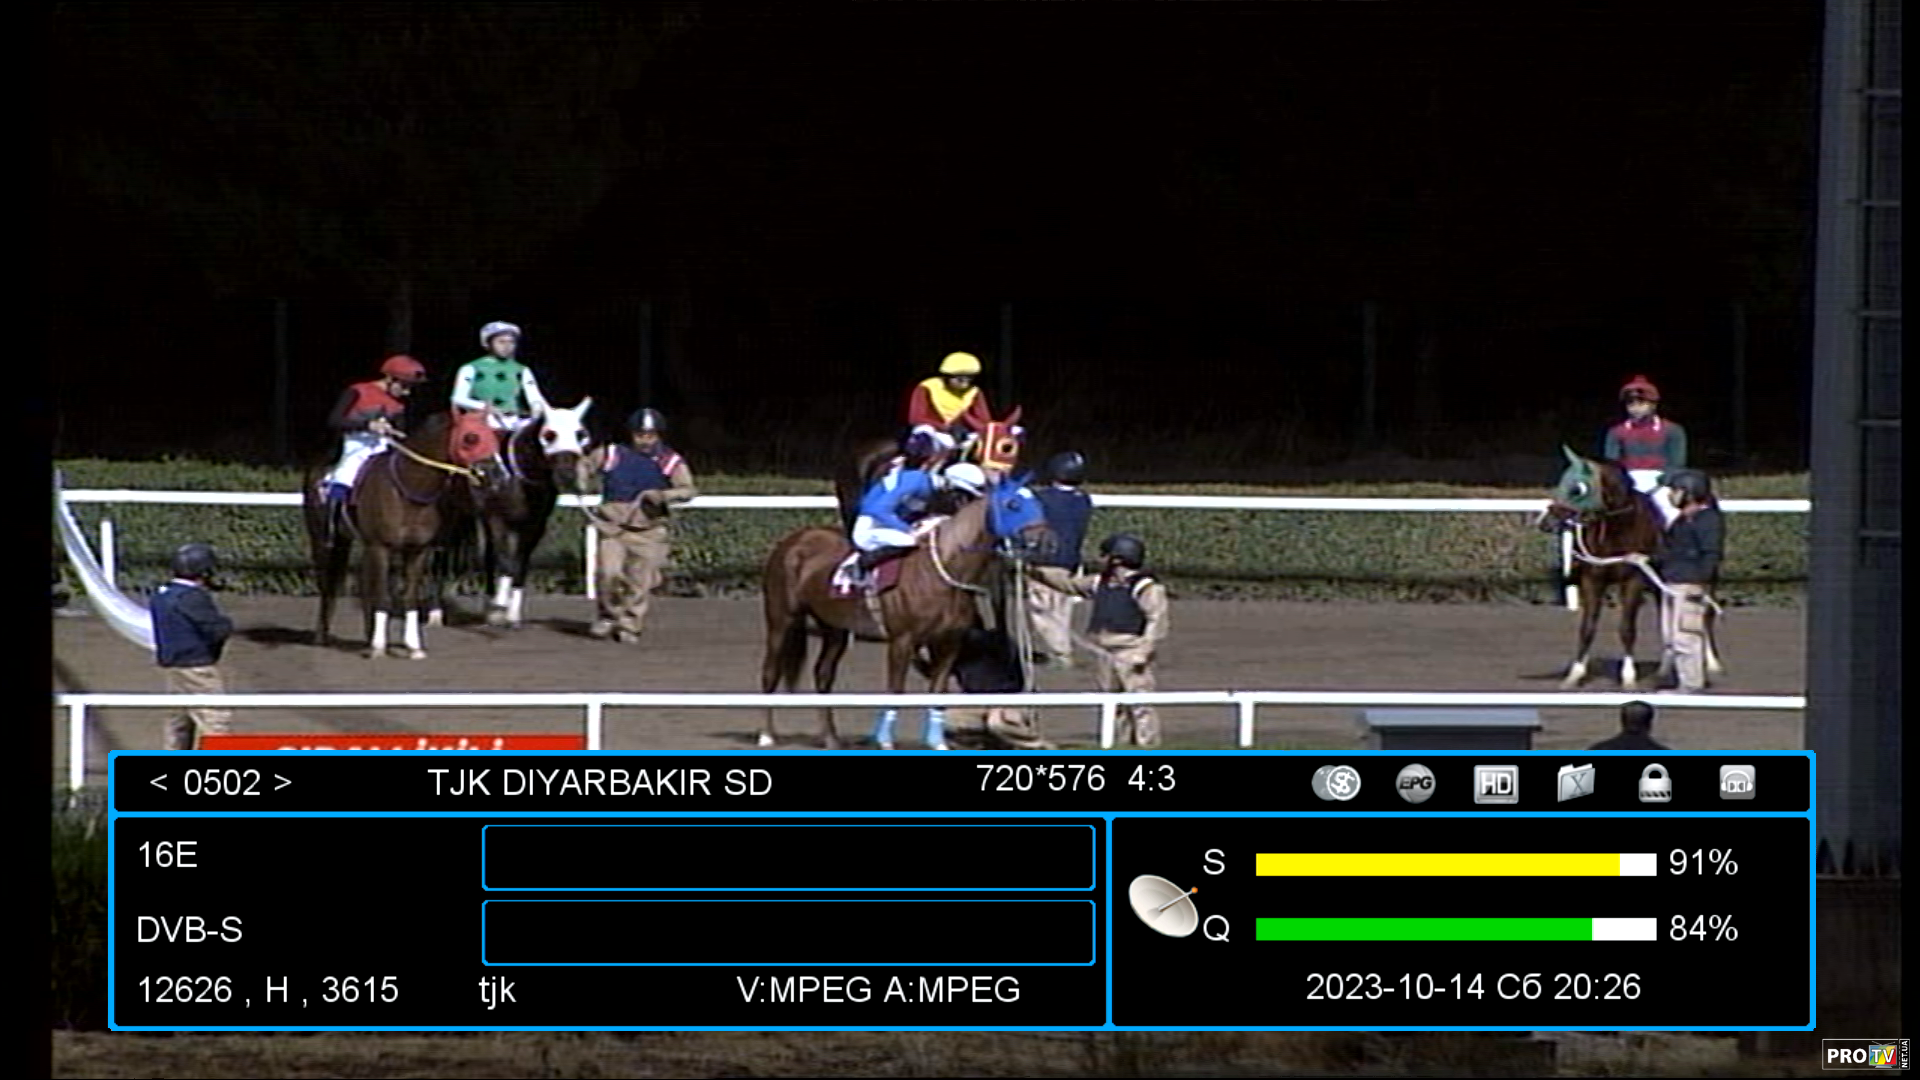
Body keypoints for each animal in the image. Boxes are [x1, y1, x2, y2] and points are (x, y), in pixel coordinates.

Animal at [302, 409, 506, 658]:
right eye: (471, 438)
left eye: (493, 436)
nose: (497, 475)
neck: (409, 489)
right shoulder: (380, 548)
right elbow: (383, 597)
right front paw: (379, 648)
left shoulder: (417, 551)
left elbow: (409, 598)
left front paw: (413, 646)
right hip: (323, 541)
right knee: (327, 581)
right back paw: (322, 636)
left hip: (351, 541)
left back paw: (366, 636)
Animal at [447, 400, 596, 628]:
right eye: (549, 434)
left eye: (580, 434)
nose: (567, 475)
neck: (519, 479)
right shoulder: (498, 520)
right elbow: (506, 560)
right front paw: (500, 606)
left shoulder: (534, 525)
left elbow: (520, 563)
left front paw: (511, 614)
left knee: (487, 556)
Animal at [759, 471, 1053, 750]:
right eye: (1012, 504)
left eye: (1038, 503)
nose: (1047, 542)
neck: (943, 570)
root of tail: (793, 540)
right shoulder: (902, 640)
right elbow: (895, 690)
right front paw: (885, 741)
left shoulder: (948, 642)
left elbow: (938, 691)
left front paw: (937, 742)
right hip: (781, 618)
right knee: (771, 671)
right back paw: (766, 735)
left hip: (835, 628)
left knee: (823, 675)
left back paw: (831, 739)